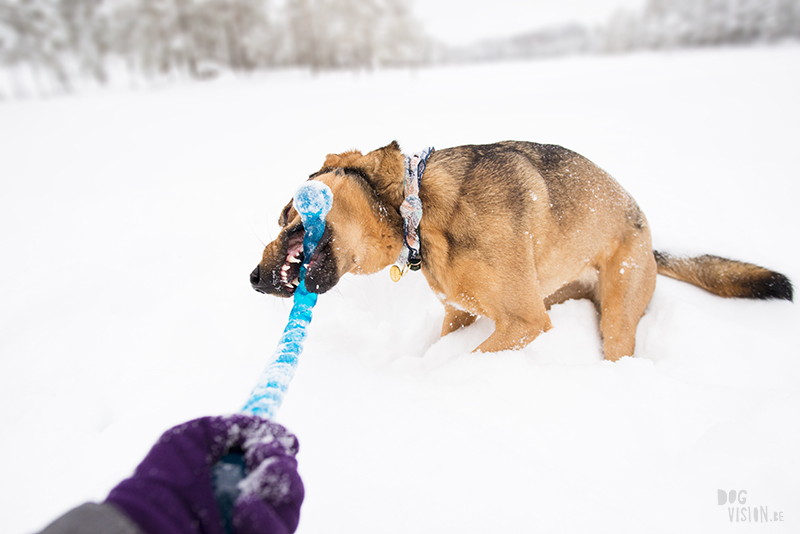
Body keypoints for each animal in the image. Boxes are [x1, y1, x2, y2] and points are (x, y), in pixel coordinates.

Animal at [252, 140, 792, 362]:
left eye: (286, 213)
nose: (253, 279)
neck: (421, 212)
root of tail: (652, 240)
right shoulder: (459, 315)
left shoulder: (525, 322)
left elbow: (464, 361)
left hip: (618, 313)